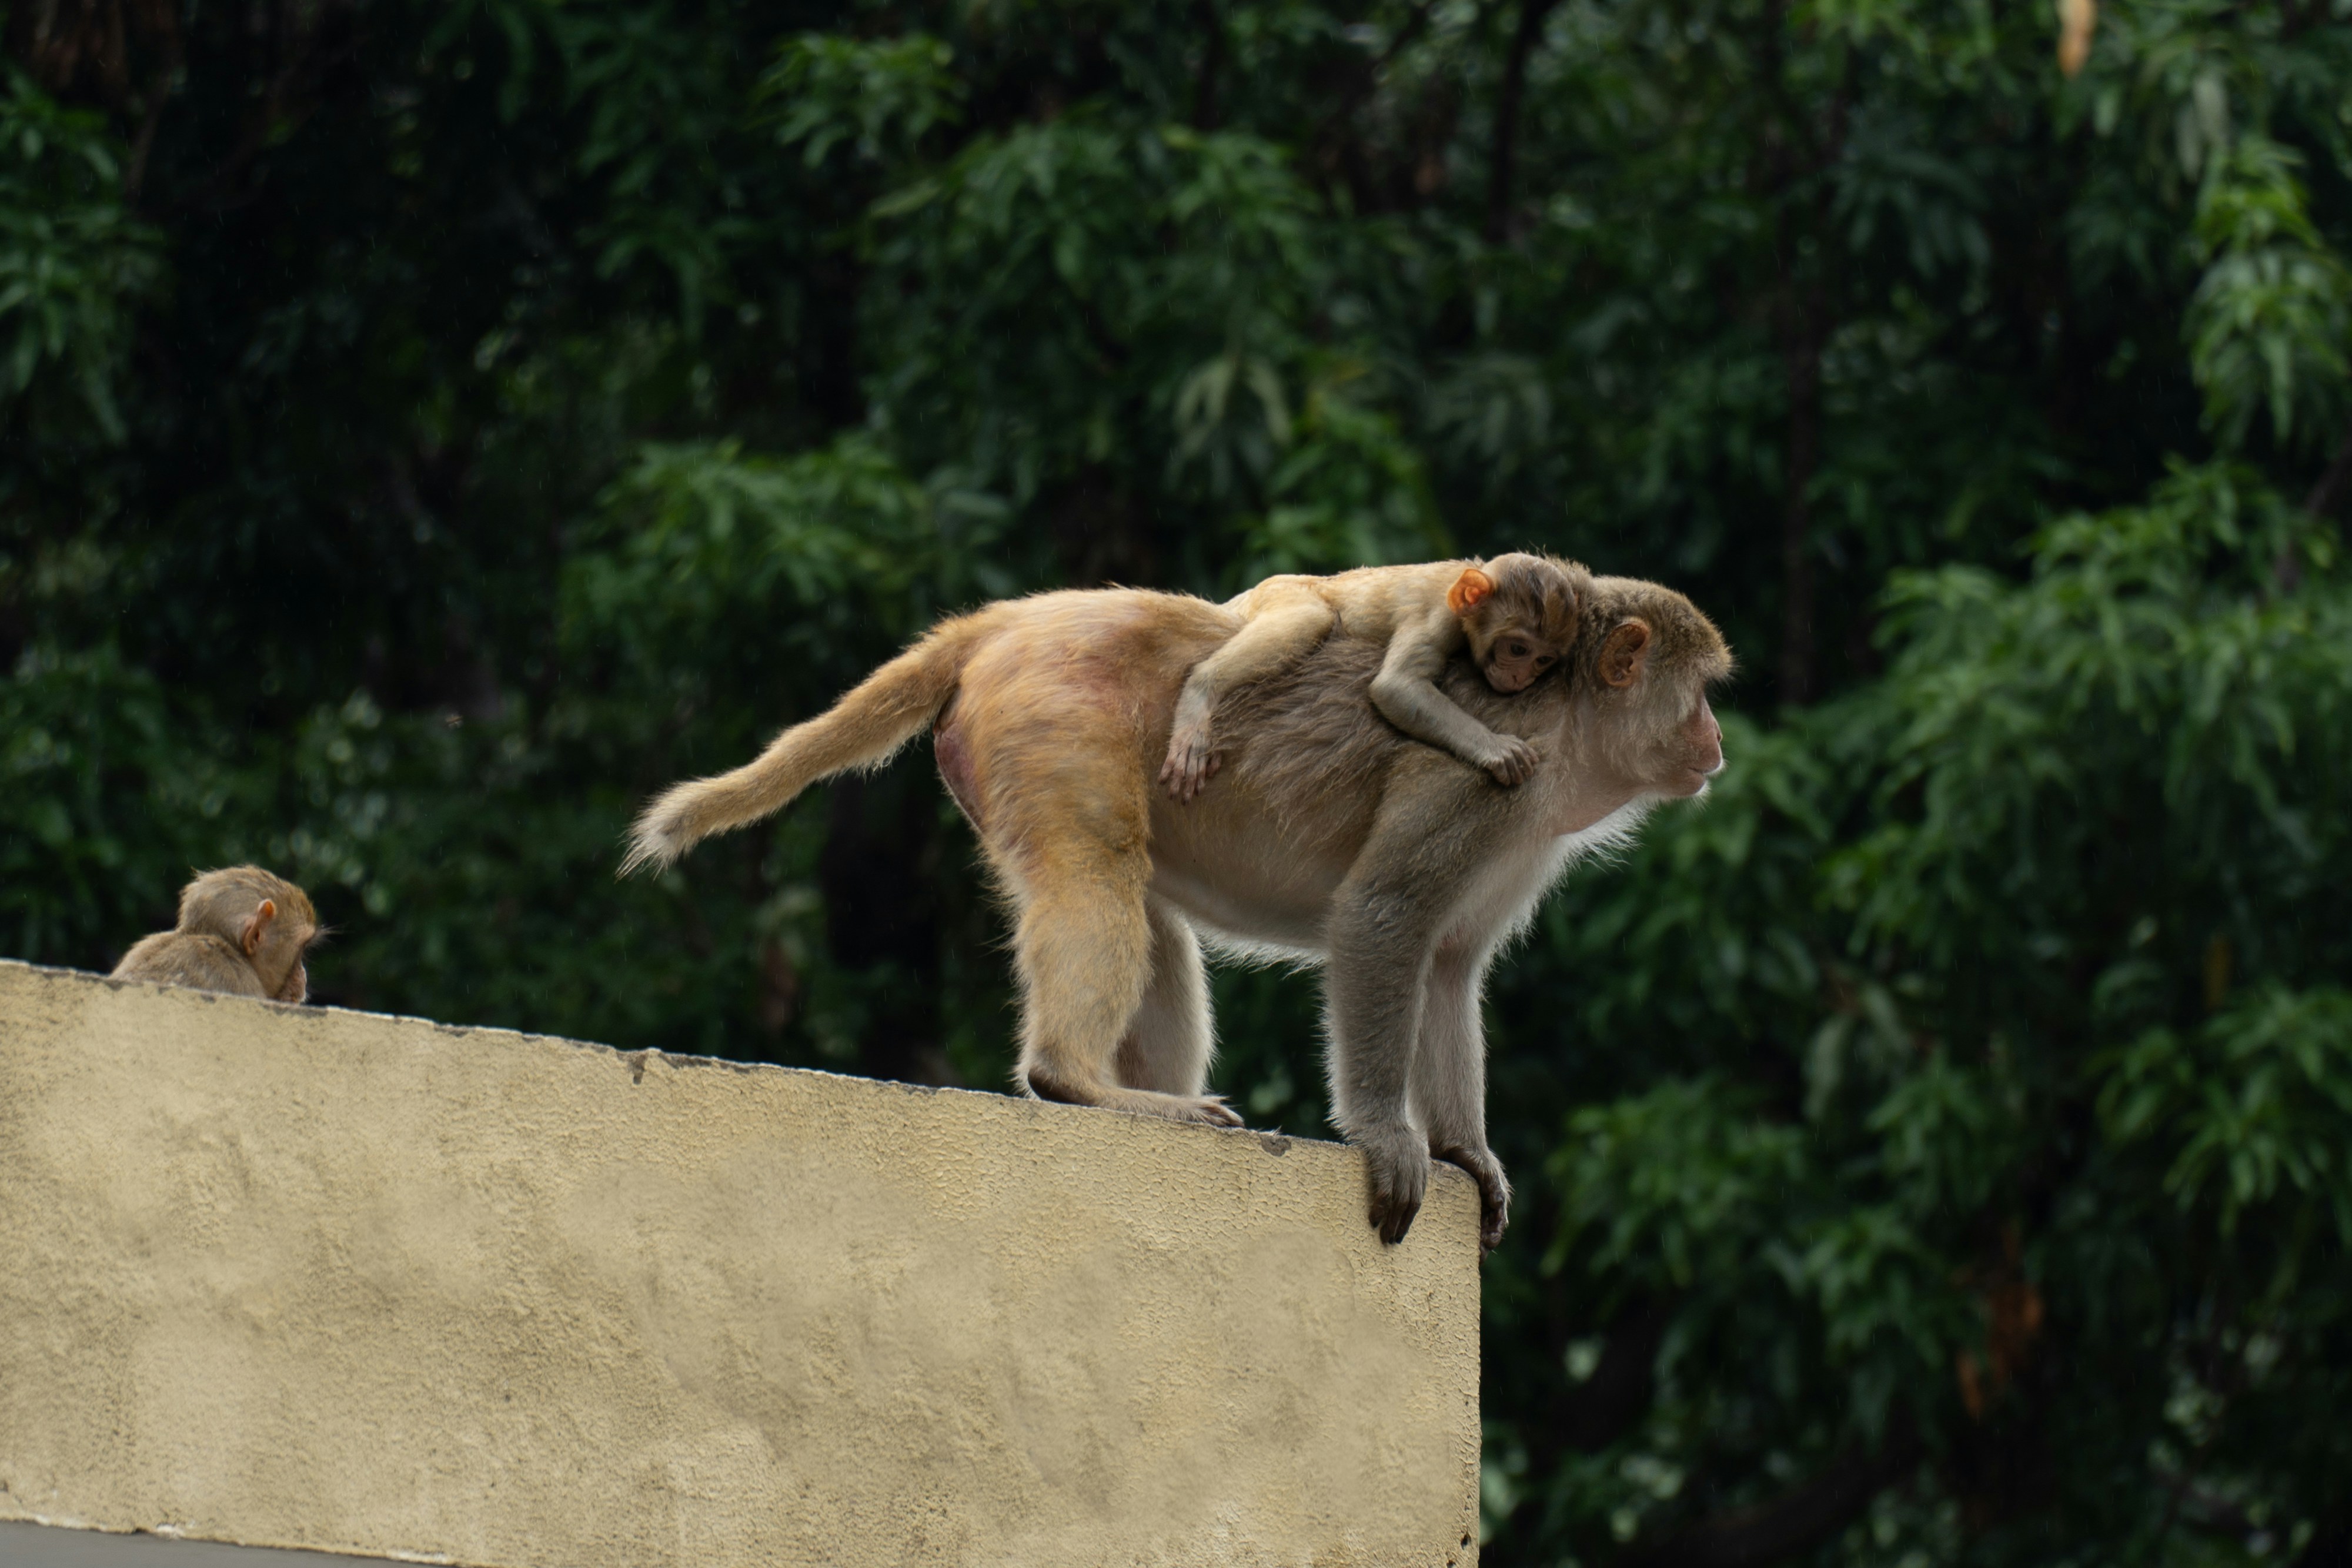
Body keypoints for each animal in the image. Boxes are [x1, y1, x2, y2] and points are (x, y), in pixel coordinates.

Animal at [1158, 552, 1583, 802]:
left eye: (1544, 659)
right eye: (1518, 649)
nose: (1521, 677)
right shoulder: (1438, 617)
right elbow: (1396, 687)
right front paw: (1496, 748)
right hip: (1280, 590)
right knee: (1312, 616)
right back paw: (1202, 688)